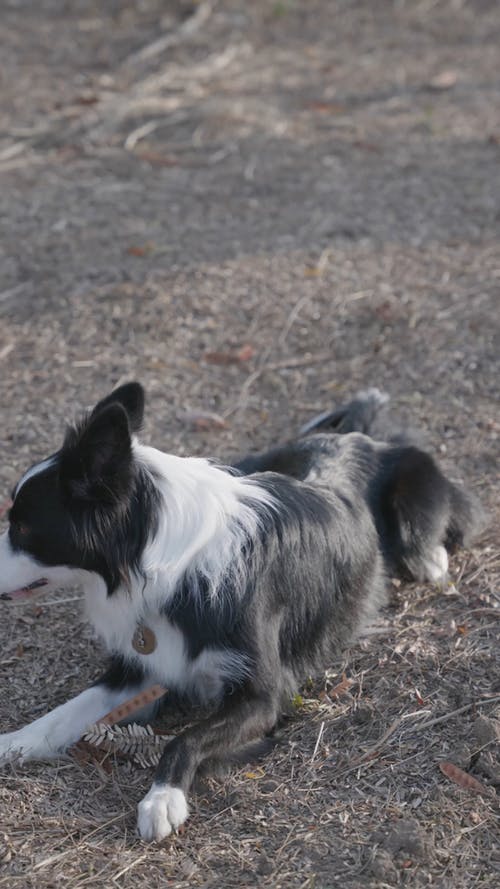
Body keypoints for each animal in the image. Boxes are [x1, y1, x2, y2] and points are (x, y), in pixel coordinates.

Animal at [0, 382, 478, 840]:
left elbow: (185, 739)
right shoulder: (142, 668)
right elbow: (66, 713)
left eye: (22, 527)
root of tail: (356, 436)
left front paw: (162, 799)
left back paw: (433, 560)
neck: (172, 566)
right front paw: (13, 742)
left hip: (415, 508)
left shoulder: (262, 697)